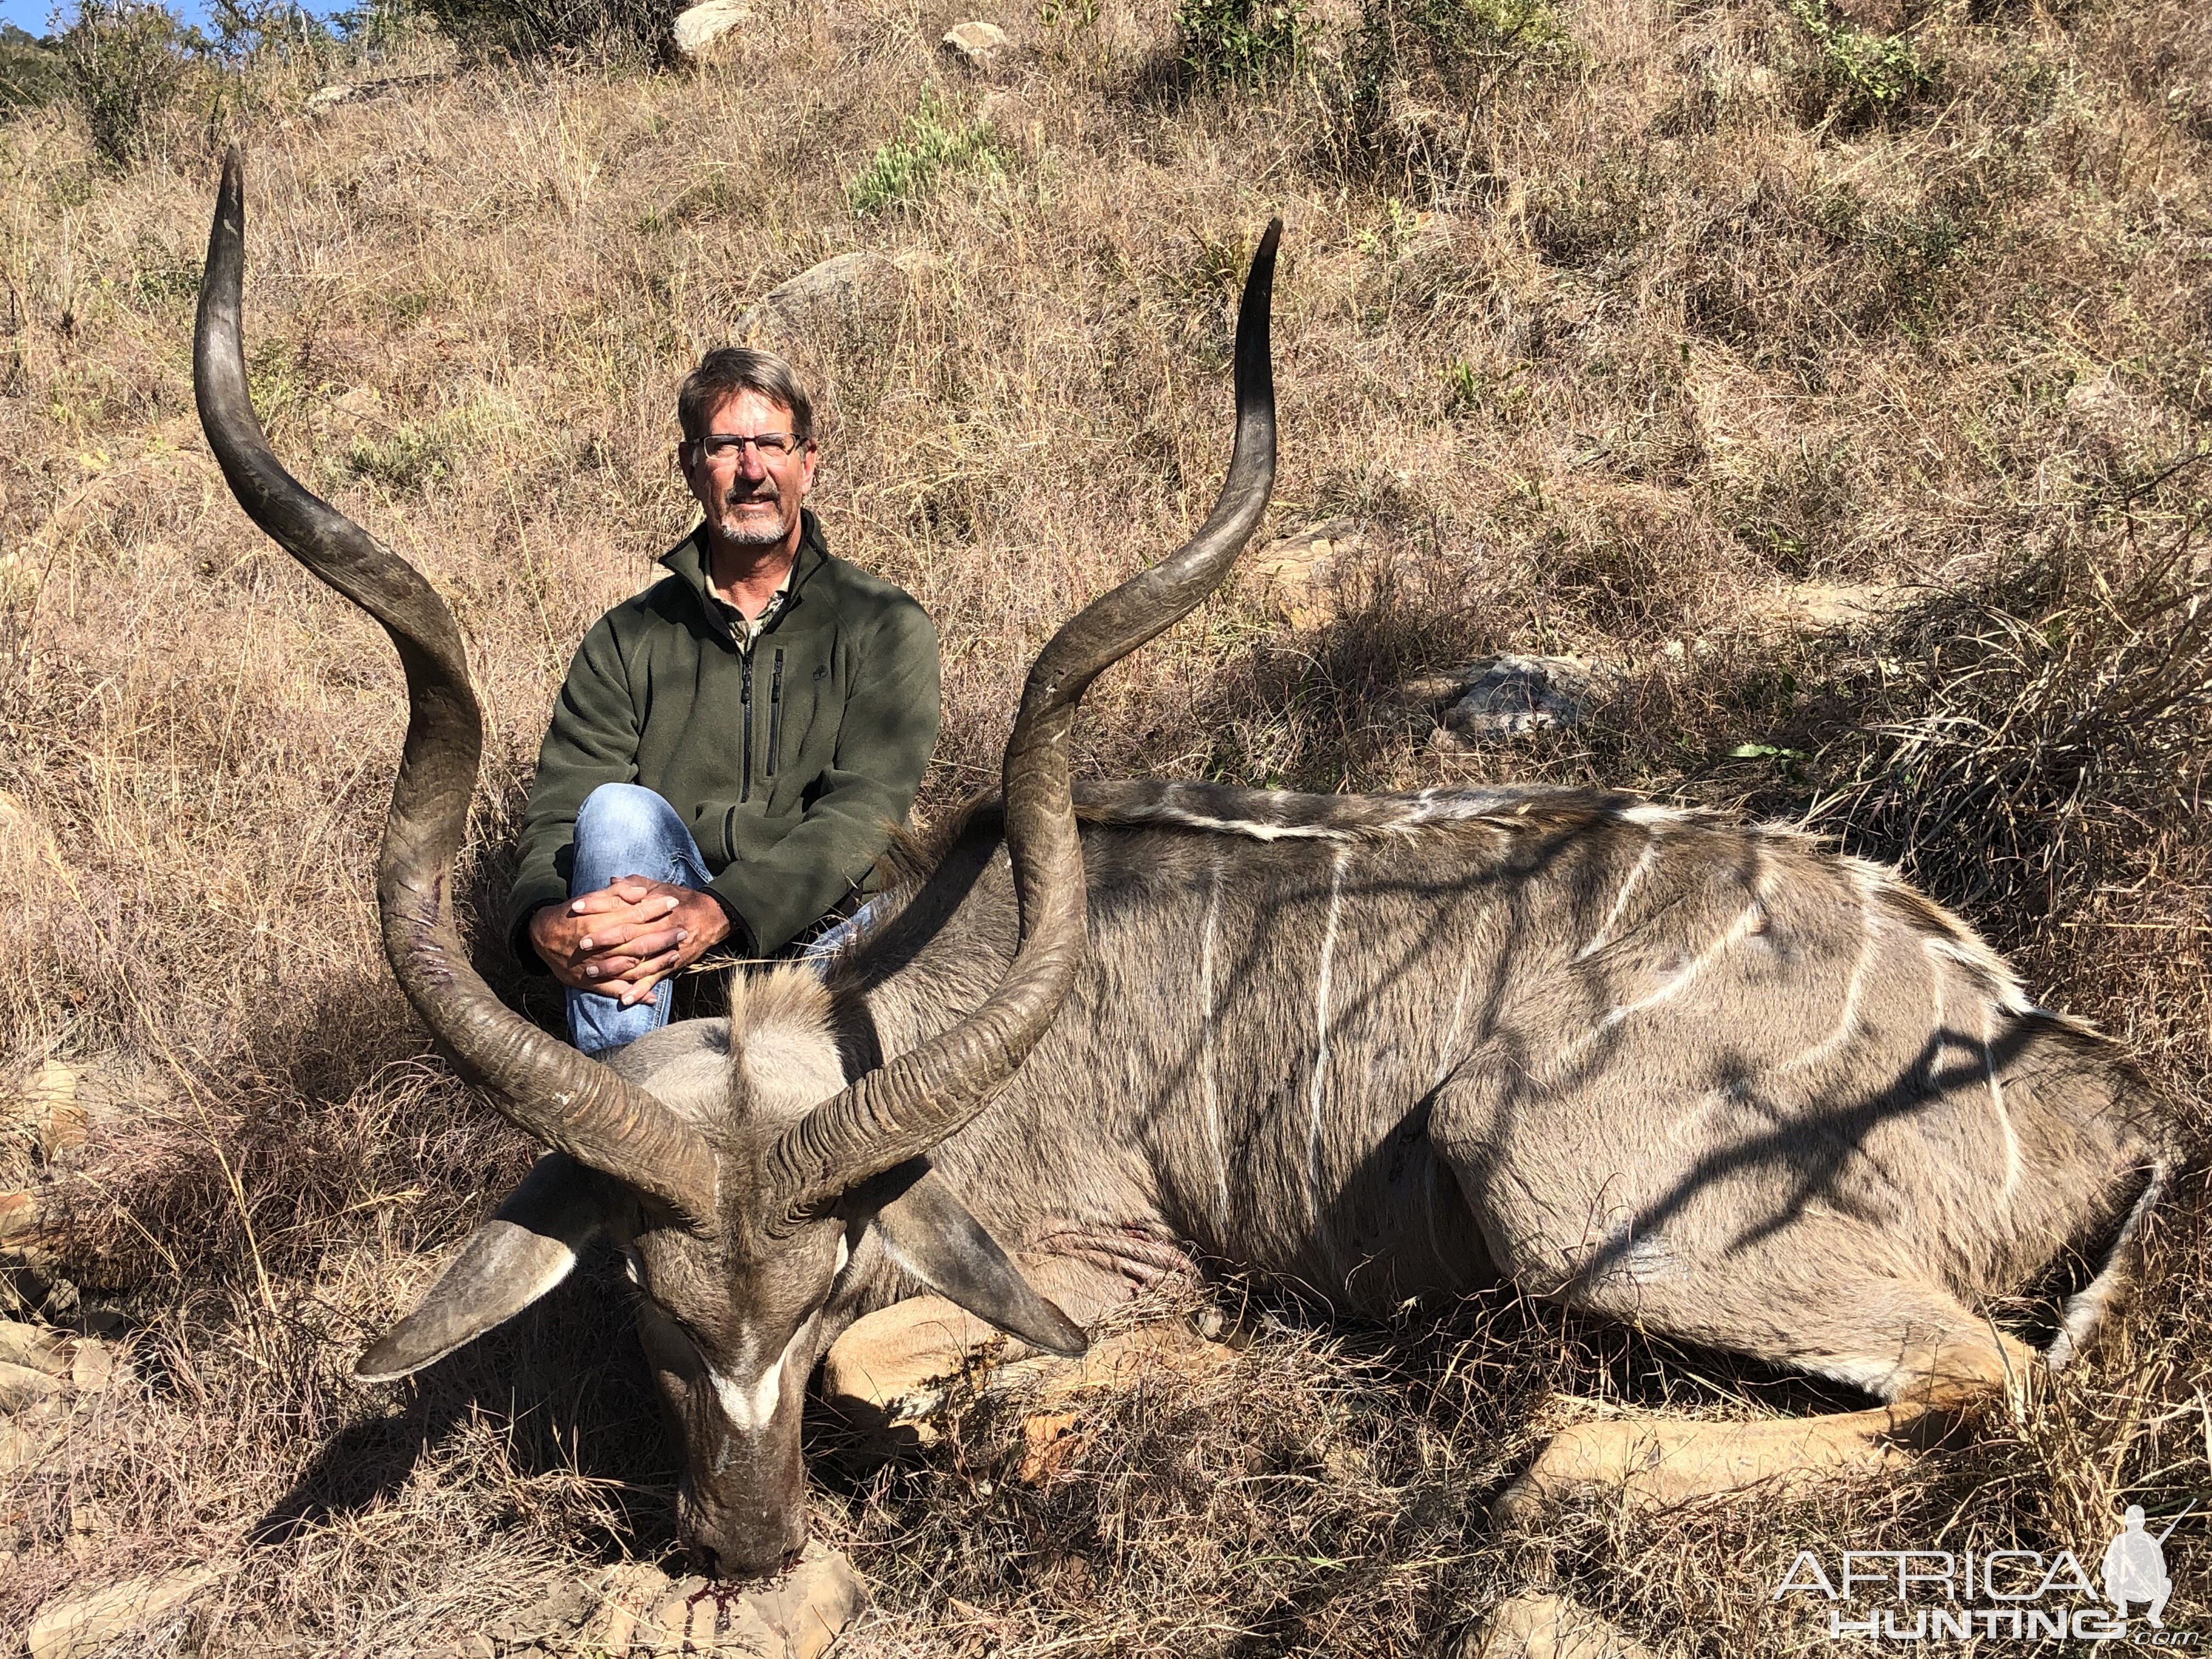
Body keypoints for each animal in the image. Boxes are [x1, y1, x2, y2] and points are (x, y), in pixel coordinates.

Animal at [190, 149, 2159, 1575]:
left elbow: (964, 1353)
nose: (745, 1545)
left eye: (815, 1287)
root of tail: (2086, 1090)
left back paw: (1557, 1446)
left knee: (1983, 1379)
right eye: (653, 1310)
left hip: (1542, 1160)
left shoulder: (1104, 1252)